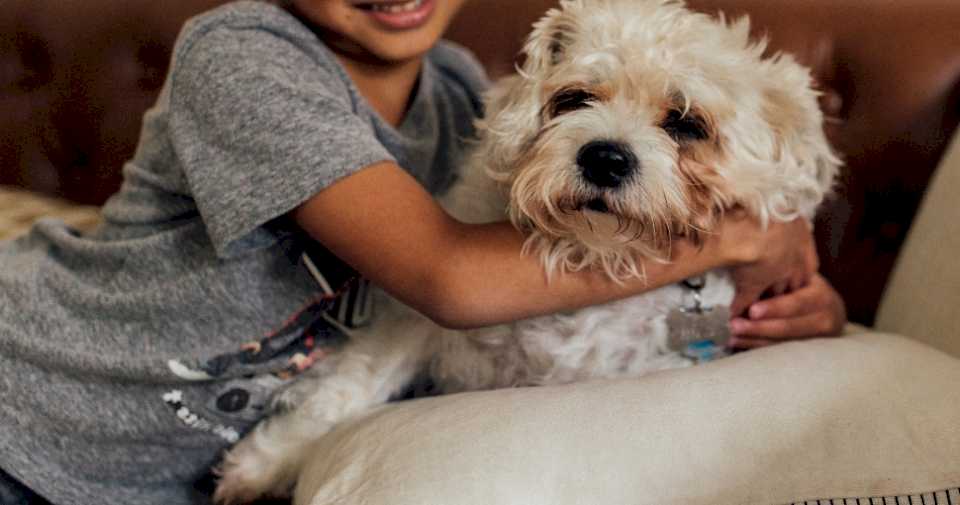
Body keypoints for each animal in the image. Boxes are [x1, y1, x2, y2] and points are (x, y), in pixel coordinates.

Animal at [216, 0, 840, 500]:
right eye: (574, 98)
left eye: (687, 123)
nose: (605, 158)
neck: (585, 255)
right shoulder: (416, 323)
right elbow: (345, 391)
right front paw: (260, 466)